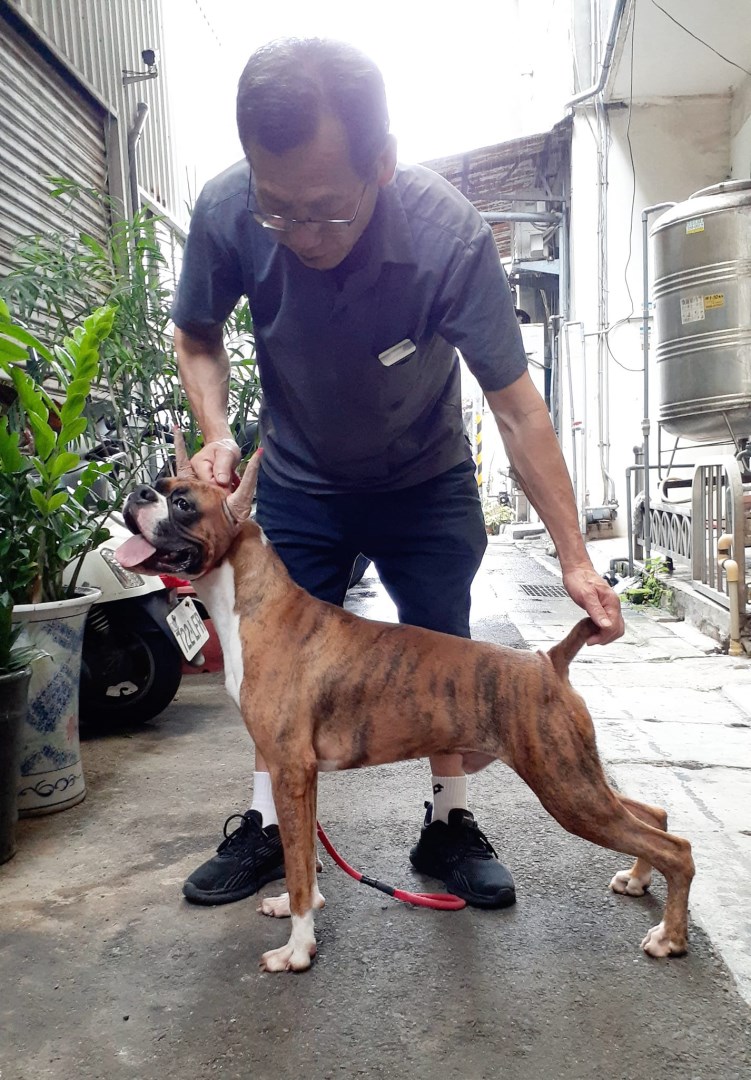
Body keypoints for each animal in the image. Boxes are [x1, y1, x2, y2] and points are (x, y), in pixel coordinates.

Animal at [116, 436, 694, 973]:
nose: (138, 491)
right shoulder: (299, 777)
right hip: (576, 778)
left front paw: (298, 949)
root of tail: (547, 660)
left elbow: (300, 866)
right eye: (159, 485)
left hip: (566, 787)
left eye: (183, 503)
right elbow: (303, 856)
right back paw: (638, 880)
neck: (252, 601)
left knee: (677, 848)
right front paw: (298, 908)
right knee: (656, 817)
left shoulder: (291, 769)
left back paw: (668, 937)